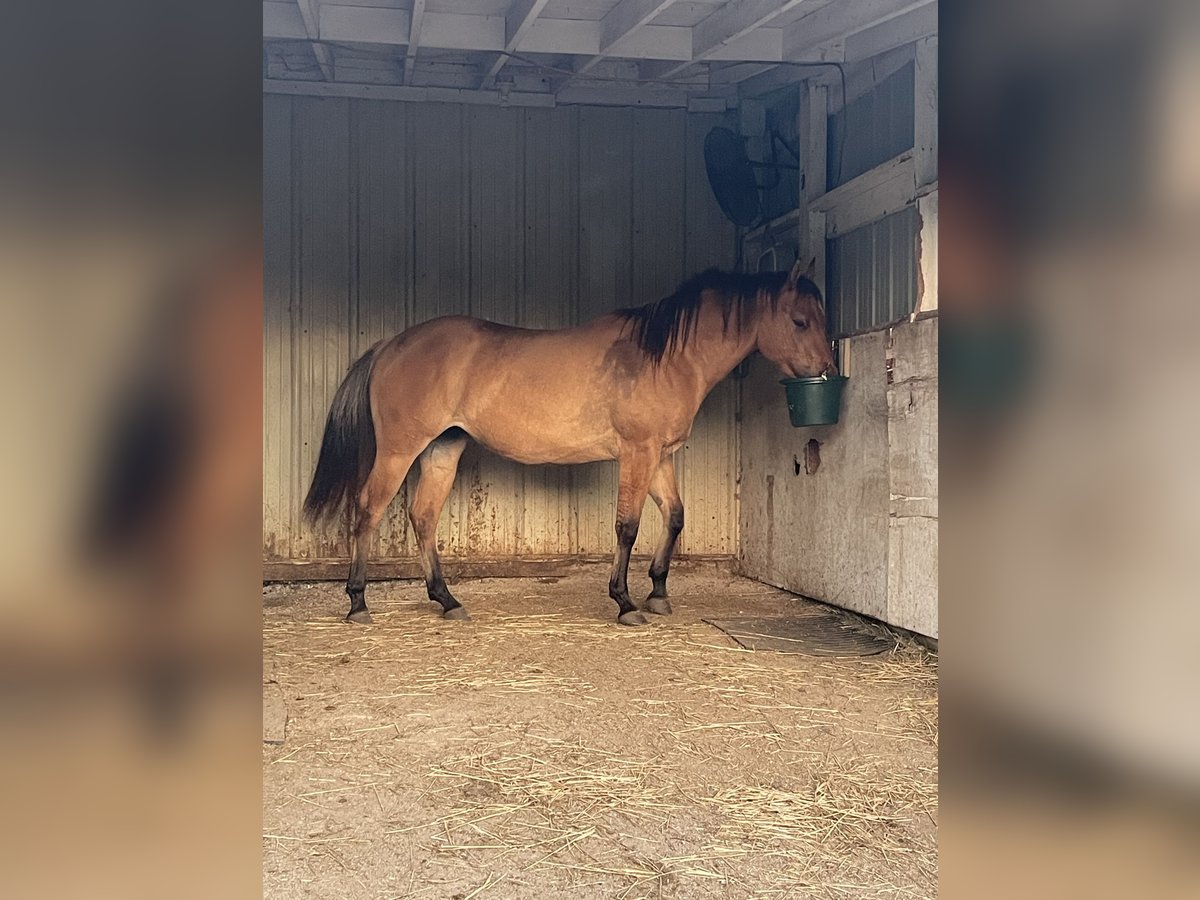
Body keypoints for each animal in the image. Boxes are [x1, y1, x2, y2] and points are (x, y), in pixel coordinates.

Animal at [304, 260, 840, 628]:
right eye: (799, 321)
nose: (826, 371)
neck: (663, 356)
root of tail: (390, 346)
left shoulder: (660, 457)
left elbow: (675, 517)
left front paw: (658, 594)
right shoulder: (638, 454)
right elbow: (627, 527)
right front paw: (624, 602)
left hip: (443, 449)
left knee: (423, 517)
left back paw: (448, 600)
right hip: (400, 450)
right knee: (368, 510)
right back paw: (358, 602)